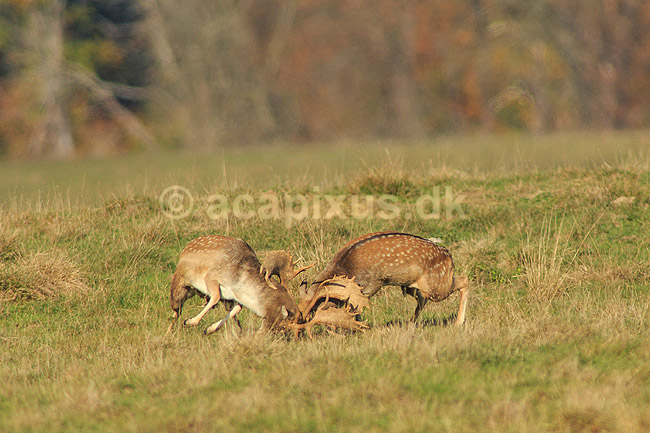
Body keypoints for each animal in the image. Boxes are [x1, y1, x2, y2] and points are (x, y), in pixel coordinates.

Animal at [299, 231, 469, 326]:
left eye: (306, 315)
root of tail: (449, 257)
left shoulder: (372, 284)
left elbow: (357, 306)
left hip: (436, 286)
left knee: (464, 279)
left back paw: (458, 323)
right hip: (412, 287)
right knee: (422, 300)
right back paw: (410, 324)